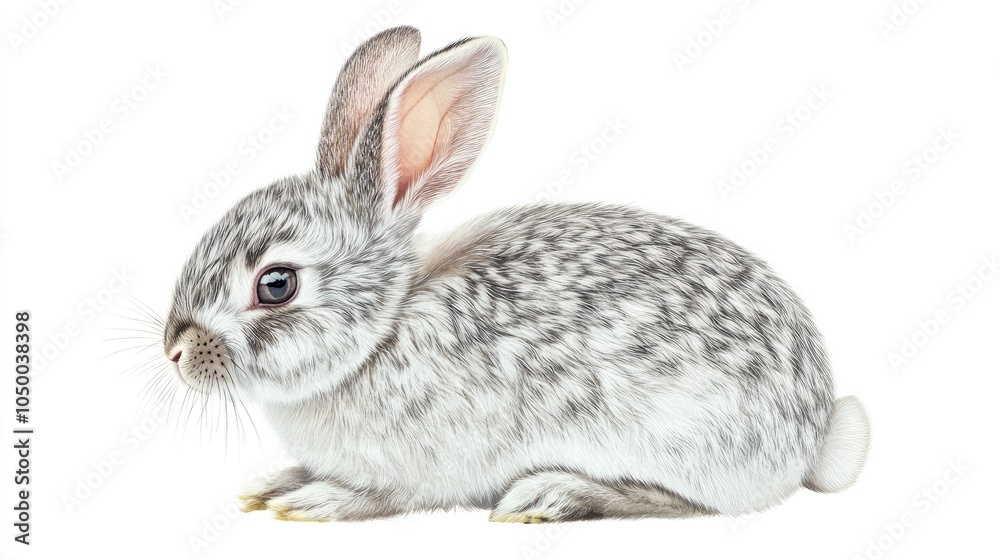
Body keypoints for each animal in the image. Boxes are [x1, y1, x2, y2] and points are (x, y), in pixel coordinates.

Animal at [163, 25, 871, 523]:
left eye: (275, 284)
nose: (175, 350)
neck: (379, 333)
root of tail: (814, 436)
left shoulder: (425, 467)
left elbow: (387, 496)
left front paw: (316, 502)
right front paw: (268, 487)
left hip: (680, 437)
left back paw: (553, 494)